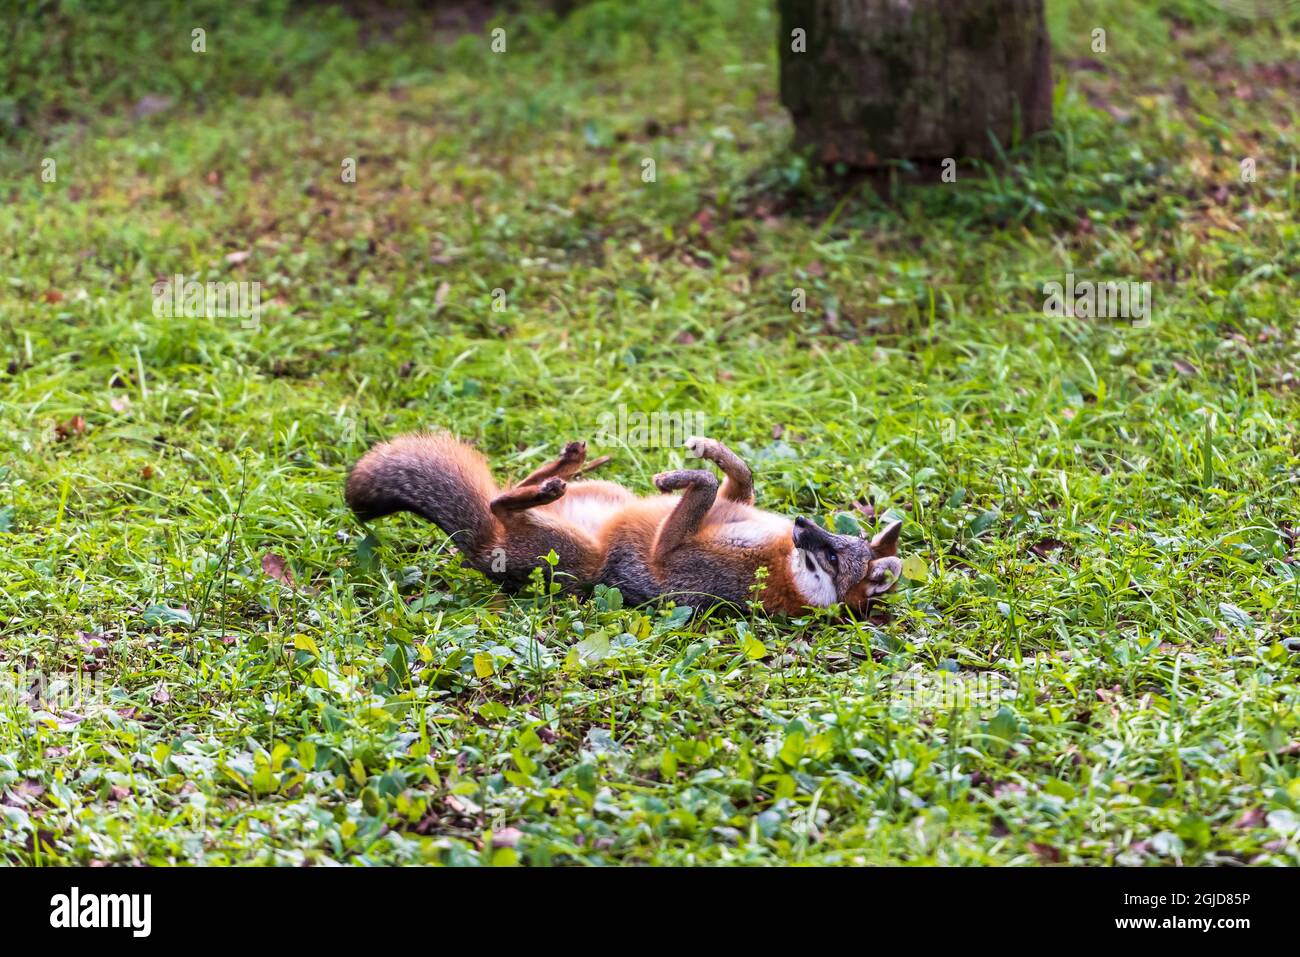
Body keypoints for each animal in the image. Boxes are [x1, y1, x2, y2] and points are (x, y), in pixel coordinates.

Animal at [345, 432, 903, 616]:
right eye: (841, 538)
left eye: (830, 554)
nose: (801, 521)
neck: (780, 562)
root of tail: (482, 552)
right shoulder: (734, 504)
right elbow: (740, 472)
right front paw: (708, 449)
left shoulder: (672, 557)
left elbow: (705, 483)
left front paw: (682, 472)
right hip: (604, 496)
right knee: (506, 489)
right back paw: (564, 466)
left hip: (579, 554)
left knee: (500, 503)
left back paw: (545, 488)